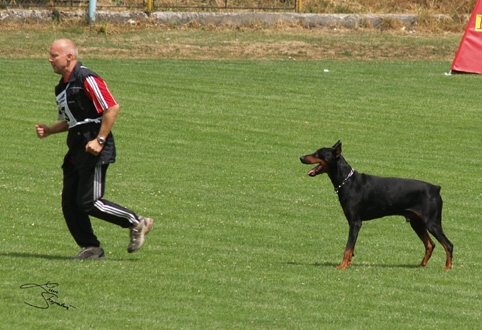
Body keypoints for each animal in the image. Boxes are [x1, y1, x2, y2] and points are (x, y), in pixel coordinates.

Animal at [300, 141, 454, 270]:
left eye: (319, 153)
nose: (301, 157)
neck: (347, 181)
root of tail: (436, 188)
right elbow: (352, 248)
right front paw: (348, 264)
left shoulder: (355, 222)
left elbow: (348, 248)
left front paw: (342, 266)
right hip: (416, 222)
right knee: (430, 244)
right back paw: (421, 265)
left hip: (431, 222)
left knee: (448, 244)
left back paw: (447, 267)